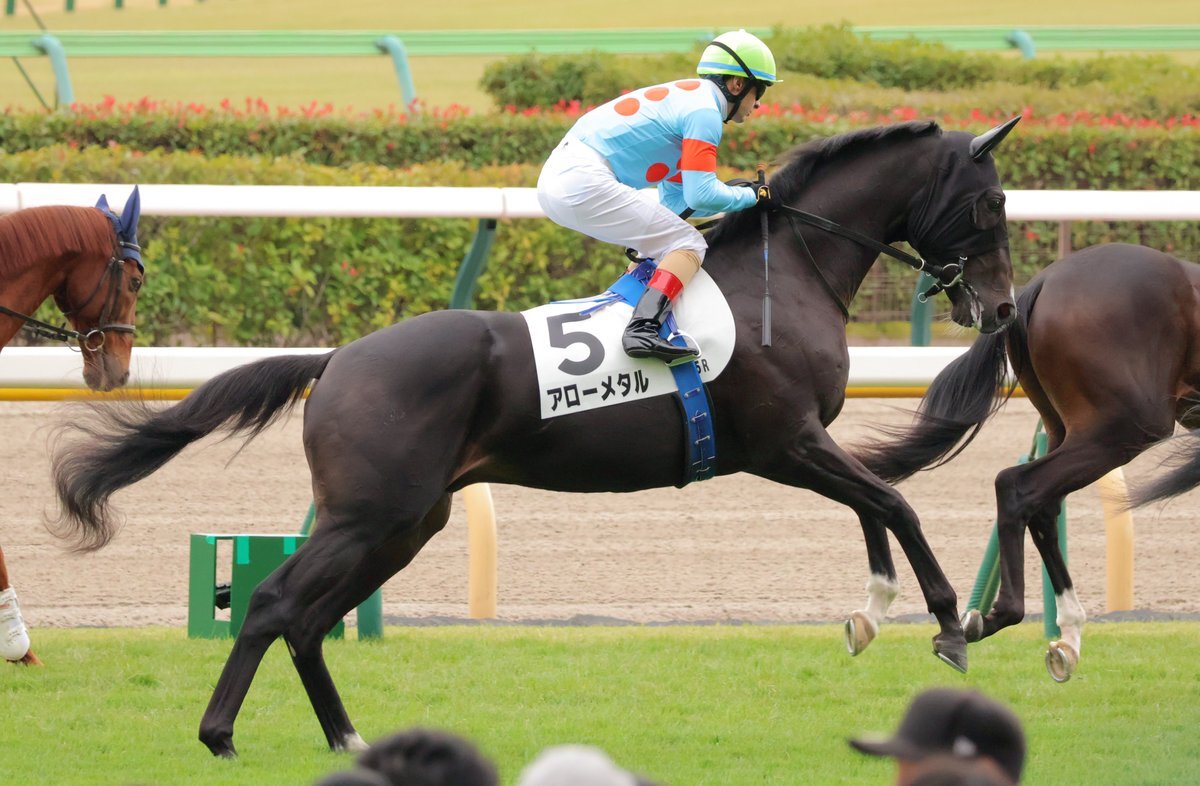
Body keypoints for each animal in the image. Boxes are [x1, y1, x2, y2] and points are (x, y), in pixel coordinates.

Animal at [49, 119, 1020, 757]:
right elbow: (894, 502)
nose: (1005, 307)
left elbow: (874, 508)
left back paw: (348, 739)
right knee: (272, 602)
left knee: (310, 619)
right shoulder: (785, 442)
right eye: (988, 204)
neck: (783, 280)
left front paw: (873, 611)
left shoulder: (799, 445)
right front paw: (952, 623)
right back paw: (220, 735)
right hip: (369, 515)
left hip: (407, 523)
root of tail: (339, 358)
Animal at [852, 242, 1200, 682]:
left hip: (1064, 426)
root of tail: (1042, 283)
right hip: (1125, 426)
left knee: (1044, 506)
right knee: (1018, 487)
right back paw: (997, 616)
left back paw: (1067, 634)